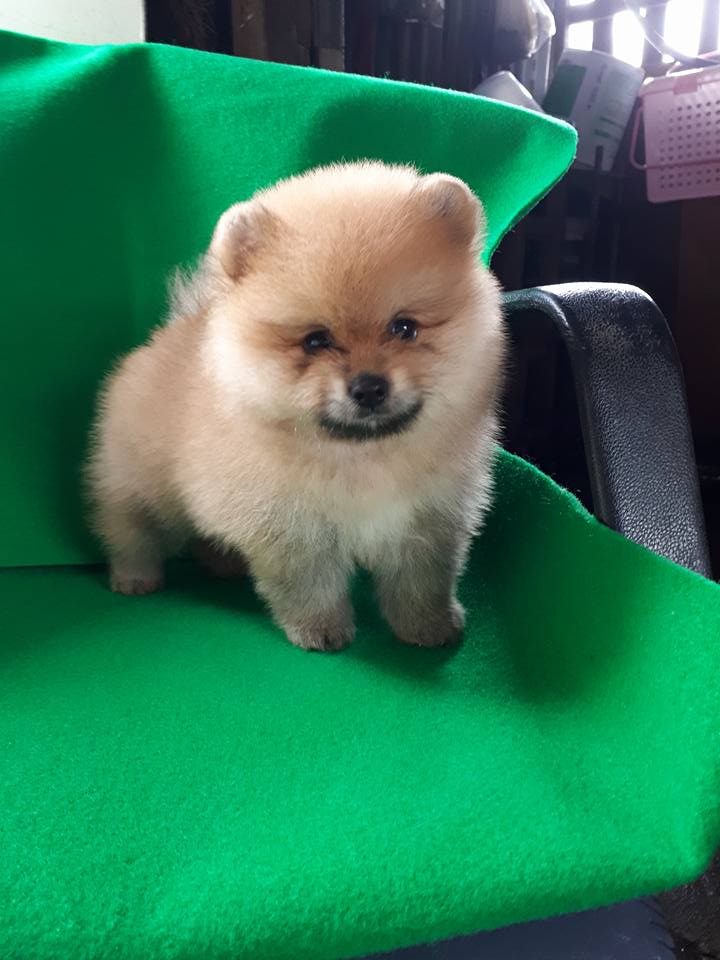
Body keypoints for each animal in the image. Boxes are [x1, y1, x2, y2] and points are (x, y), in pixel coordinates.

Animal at [87, 162, 505, 652]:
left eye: (404, 327)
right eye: (315, 340)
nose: (368, 387)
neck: (363, 456)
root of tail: (175, 329)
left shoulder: (430, 520)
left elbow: (423, 580)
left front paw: (428, 626)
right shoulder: (292, 527)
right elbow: (310, 585)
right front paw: (320, 629)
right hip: (136, 485)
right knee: (131, 529)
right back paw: (134, 576)